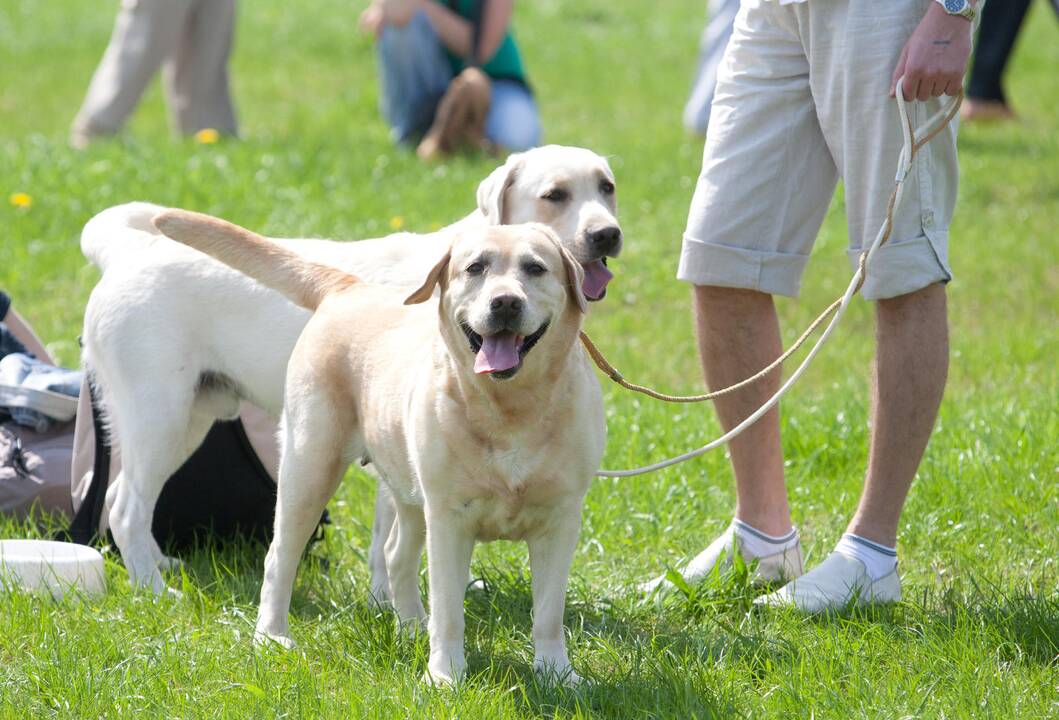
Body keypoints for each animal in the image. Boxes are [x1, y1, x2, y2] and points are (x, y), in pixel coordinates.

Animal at [82, 142, 622, 592]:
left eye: (607, 187)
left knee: (120, 498)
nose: (607, 235)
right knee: (127, 509)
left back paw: (159, 567)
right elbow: (395, 543)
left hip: (188, 420)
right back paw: (156, 591)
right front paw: (392, 600)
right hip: (162, 418)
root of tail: (128, 252)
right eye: (555, 194)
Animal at [155, 209, 605, 686]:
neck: (511, 410)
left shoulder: (560, 520)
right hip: (310, 467)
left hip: (405, 490)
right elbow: (449, 610)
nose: (505, 303)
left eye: (535, 268)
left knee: (395, 555)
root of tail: (348, 287)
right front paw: (446, 676)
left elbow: (548, 613)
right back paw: (272, 636)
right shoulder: (449, 518)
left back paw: (411, 627)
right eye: (475, 268)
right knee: (280, 556)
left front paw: (557, 675)